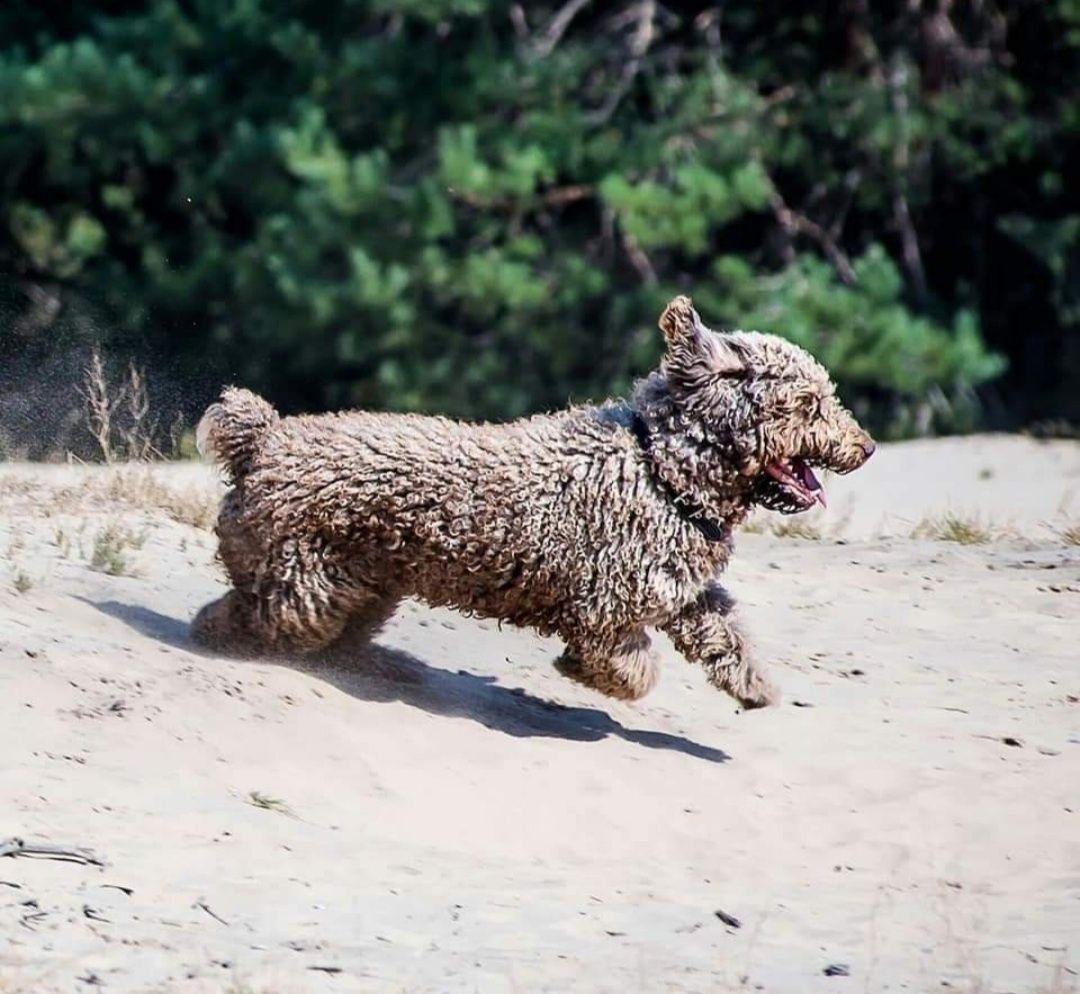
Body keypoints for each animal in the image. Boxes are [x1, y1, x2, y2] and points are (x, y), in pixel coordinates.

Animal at [190, 296, 872, 708]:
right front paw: (584, 674)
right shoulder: (606, 609)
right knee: (256, 617)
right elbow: (629, 667)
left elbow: (726, 634)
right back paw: (215, 632)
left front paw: (756, 686)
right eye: (808, 403)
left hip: (364, 584)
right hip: (308, 582)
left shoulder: (683, 590)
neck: (659, 469)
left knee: (330, 636)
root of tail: (262, 438)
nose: (865, 446)